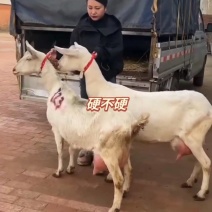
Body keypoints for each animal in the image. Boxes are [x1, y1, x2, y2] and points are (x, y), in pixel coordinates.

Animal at [12, 41, 149, 212]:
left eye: (28, 58)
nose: (14, 69)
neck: (55, 88)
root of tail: (131, 124)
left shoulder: (56, 128)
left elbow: (59, 150)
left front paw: (58, 172)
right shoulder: (70, 130)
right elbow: (71, 149)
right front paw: (70, 168)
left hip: (109, 151)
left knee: (118, 179)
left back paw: (114, 207)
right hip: (125, 147)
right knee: (129, 169)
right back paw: (125, 191)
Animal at [55, 42, 212, 200]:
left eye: (68, 54)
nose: (57, 64)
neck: (103, 89)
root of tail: (209, 107)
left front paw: (113, 180)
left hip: (192, 136)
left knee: (206, 163)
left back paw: (201, 193)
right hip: (197, 137)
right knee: (199, 162)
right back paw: (190, 182)